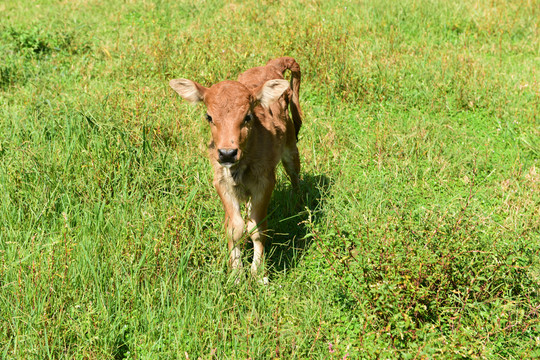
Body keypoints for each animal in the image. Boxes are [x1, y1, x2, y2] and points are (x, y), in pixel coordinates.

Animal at [170, 57, 302, 282]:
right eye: (209, 117)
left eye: (248, 117)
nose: (227, 153)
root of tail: (272, 64)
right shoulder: (221, 182)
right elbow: (235, 228)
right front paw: (236, 273)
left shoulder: (265, 181)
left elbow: (257, 228)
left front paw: (259, 273)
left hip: (291, 145)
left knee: (294, 174)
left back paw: (297, 204)